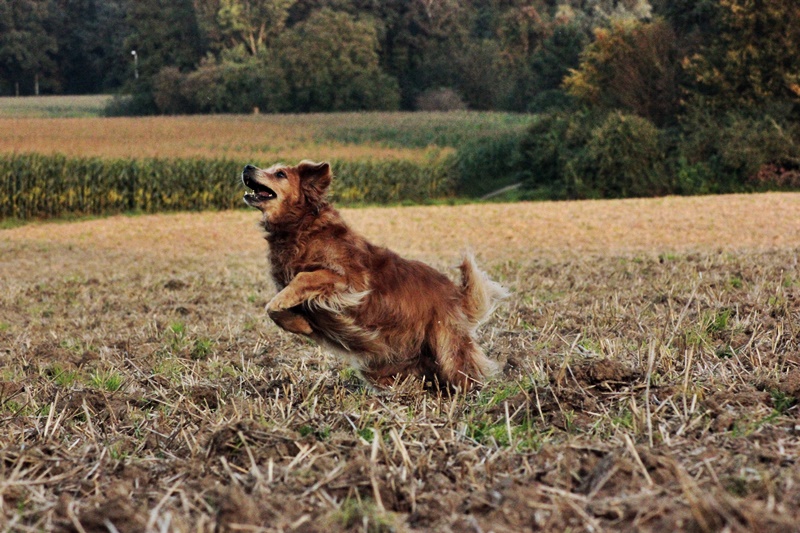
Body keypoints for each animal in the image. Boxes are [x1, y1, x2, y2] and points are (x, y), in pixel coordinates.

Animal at [242, 160, 506, 388]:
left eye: (280, 174)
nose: (247, 167)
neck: (300, 225)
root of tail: (456, 293)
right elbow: (278, 310)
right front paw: (300, 323)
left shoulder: (349, 280)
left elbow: (296, 284)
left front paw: (292, 313)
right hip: (384, 363)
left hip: (446, 345)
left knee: (463, 373)